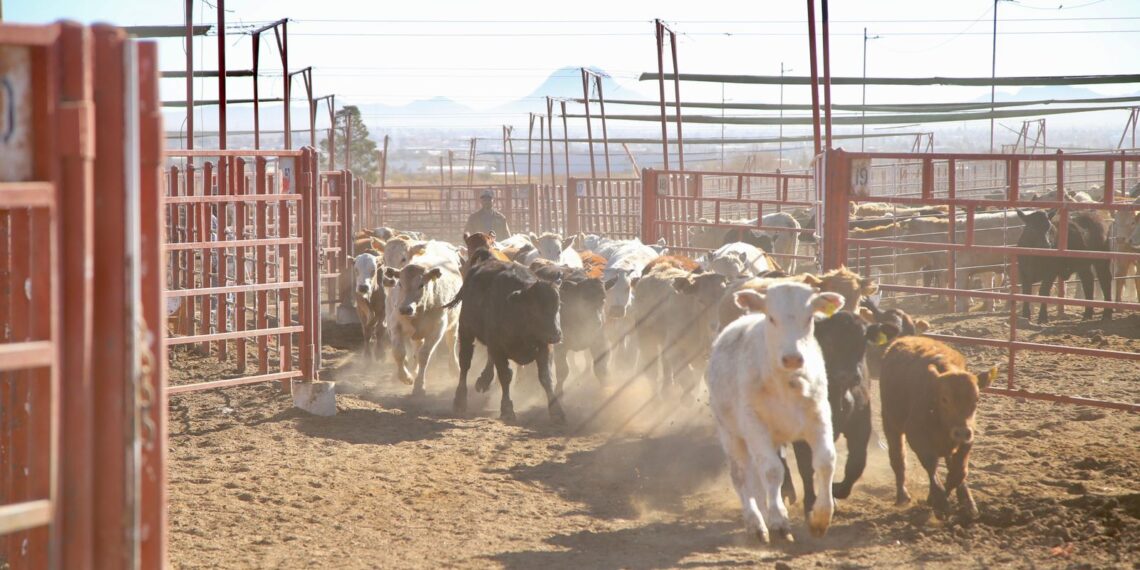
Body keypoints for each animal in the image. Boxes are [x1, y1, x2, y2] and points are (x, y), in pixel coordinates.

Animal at [383, 255, 462, 396]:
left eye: (421, 285)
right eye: (400, 283)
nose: (405, 309)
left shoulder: (437, 329)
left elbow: (424, 355)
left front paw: (419, 386)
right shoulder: (395, 324)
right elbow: (399, 352)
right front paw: (406, 377)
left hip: (454, 322)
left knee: (451, 341)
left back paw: (454, 368)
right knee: (416, 347)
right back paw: (413, 371)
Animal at [449, 261, 565, 421]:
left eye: (558, 306)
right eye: (534, 309)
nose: (555, 335)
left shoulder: (545, 347)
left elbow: (546, 378)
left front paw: (557, 411)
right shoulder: (498, 348)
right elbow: (505, 376)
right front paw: (507, 409)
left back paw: (484, 380)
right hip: (466, 331)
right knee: (465, 364)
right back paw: (460, 401)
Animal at [706, 282, 843, 540]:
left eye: (809, 317)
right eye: (771, 317)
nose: (792, 358)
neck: (784, 384)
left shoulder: (819, 416)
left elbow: (825, 460)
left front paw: (821, 516)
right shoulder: (754, 424)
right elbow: (771, 471)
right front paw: (778, 520)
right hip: (730, 433)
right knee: (742, 475)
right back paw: (756, 522)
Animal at [784, 312, 898, 517]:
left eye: (863, 340)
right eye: (829, 341)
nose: (849, 375)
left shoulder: (860, 426)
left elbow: (856, 463)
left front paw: (837, 490)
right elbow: (805, 466)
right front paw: (811, 503)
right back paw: (786, 490)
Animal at [875, 337, 994, 522]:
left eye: (976, 399)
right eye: (944, 399)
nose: (961, 432)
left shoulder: (968, 438)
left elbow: (959, 471)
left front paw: (965, 502)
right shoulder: (917, 436)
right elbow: (931, 465)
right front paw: (939, 500)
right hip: (890, 422)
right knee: (898, 459)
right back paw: (902, 496)